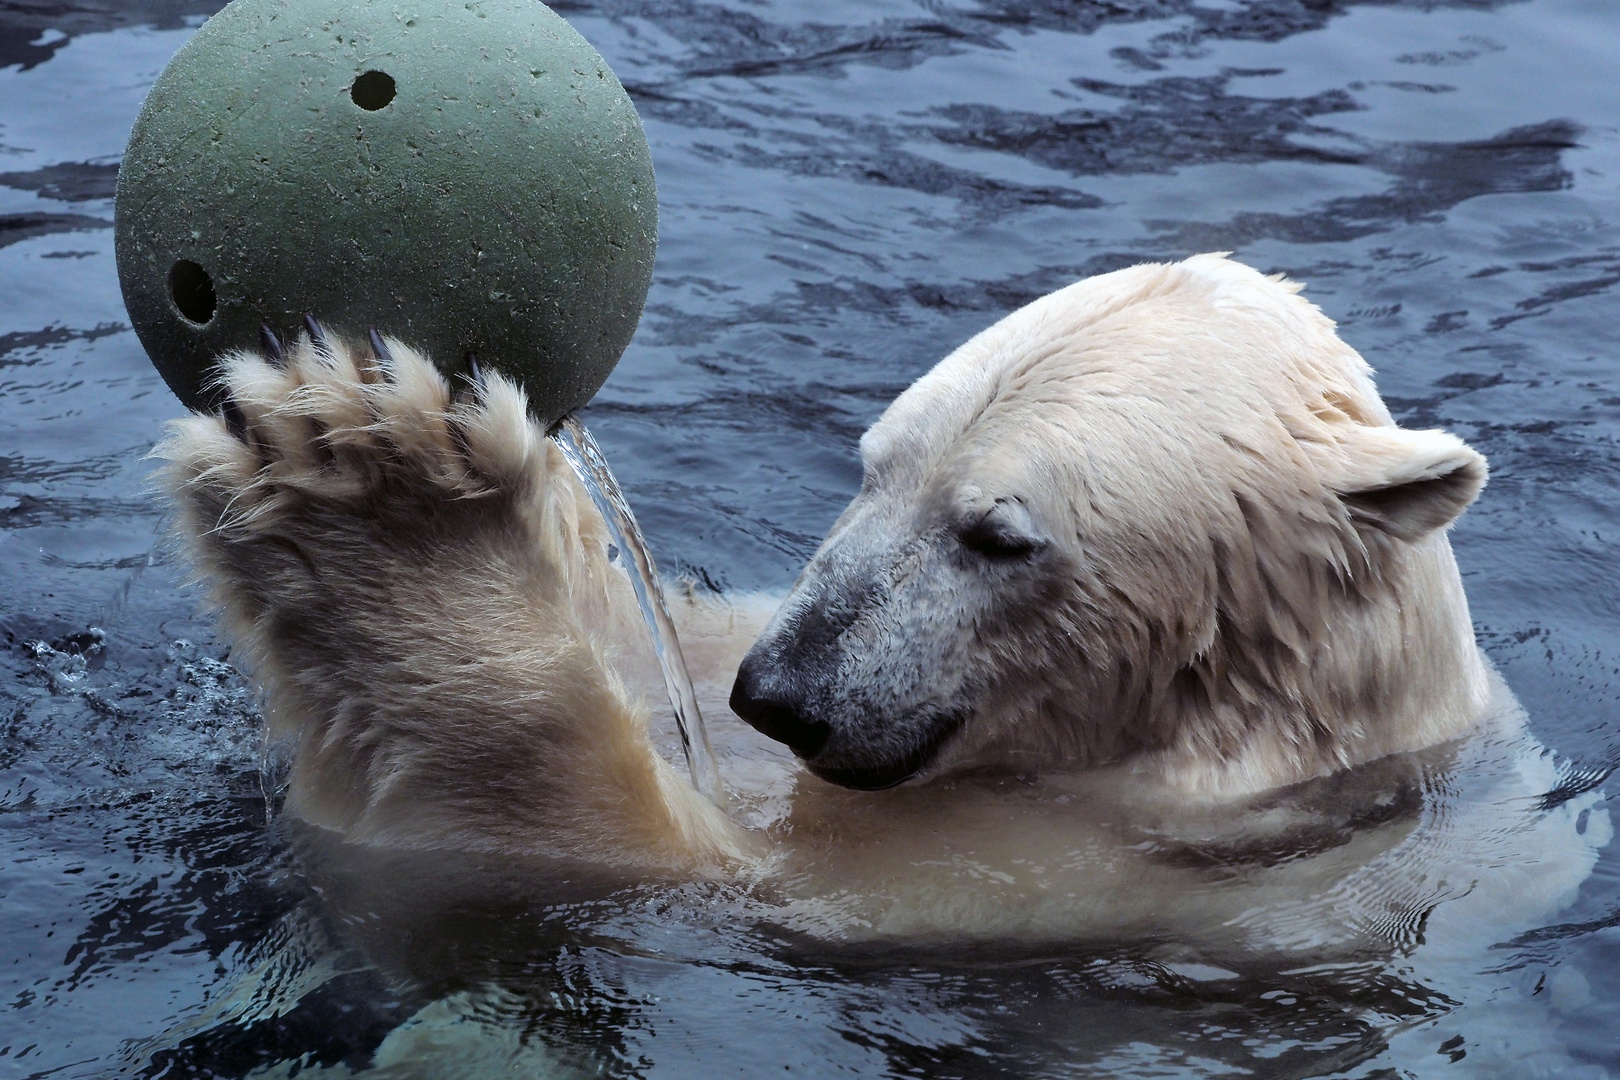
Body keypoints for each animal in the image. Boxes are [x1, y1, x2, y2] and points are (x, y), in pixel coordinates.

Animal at [161, 257, 1568, 939]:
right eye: (874, 462)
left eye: (998, 537)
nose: (780, 695)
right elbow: (663, 666)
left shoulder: (1075, 874)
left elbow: (612, 854)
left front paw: (373, 480)